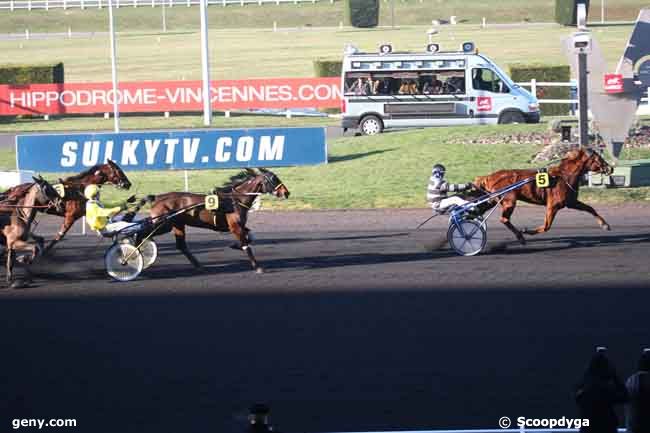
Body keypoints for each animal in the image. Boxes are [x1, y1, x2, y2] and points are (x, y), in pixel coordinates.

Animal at [0, 160, 132, 251]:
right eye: (118, 170)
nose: (128, 184)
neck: (80, 189)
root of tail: (14, 188)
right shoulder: (71, 216)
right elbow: (60, 236)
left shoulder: (86, 211)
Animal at [148, 167, 290, 272]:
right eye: (273, 179)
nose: (286, 193)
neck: (235, 200)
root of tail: (158, 198)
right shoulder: (235, 226)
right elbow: (246, 245)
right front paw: (257, 267)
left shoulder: (240, 225)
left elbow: (250, 237)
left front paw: (235, 245)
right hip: (163, 224)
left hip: (178, 224)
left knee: (181, 245)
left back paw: (199, 266)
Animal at [474, 148, 612, 243]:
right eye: (598, 158)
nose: (610, 168)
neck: (564, 176)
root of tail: (488, 176)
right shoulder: (553, 205)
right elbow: (546, 226)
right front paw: (526, 231)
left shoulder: (571, 202)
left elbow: (590, 208)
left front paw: (605, 225)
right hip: (509, 201)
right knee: (504, 219)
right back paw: (520, 236)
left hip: (492, 200)